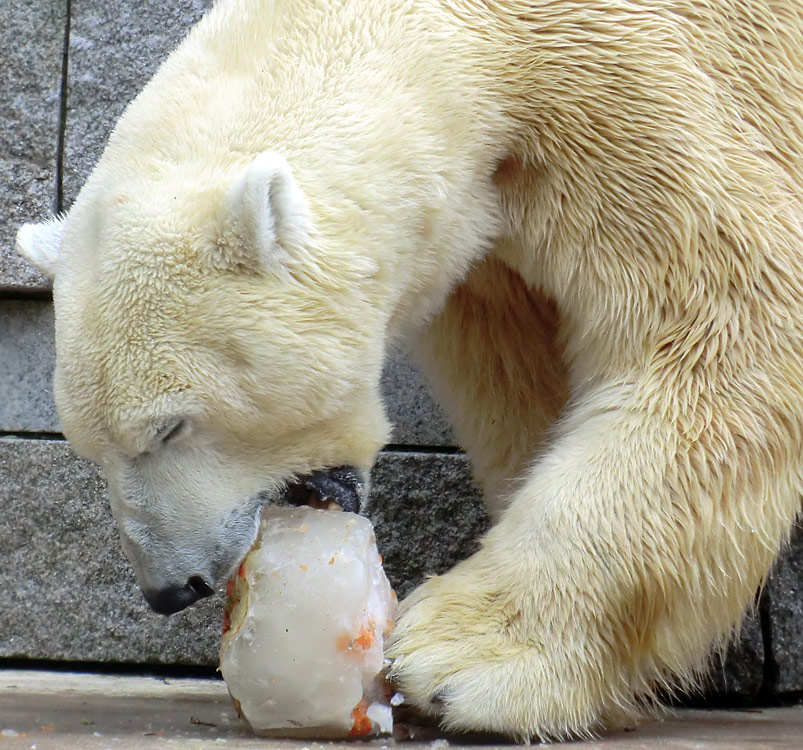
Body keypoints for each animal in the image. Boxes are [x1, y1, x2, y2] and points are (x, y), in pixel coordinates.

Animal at [12, 0, 803, 744]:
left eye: (171, 427)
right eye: (89, 448)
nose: (172, 589)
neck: (490, 41)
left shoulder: (646, 108)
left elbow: (724, 336)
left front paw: (459, 660)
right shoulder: (497, 237)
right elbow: (525, 381)